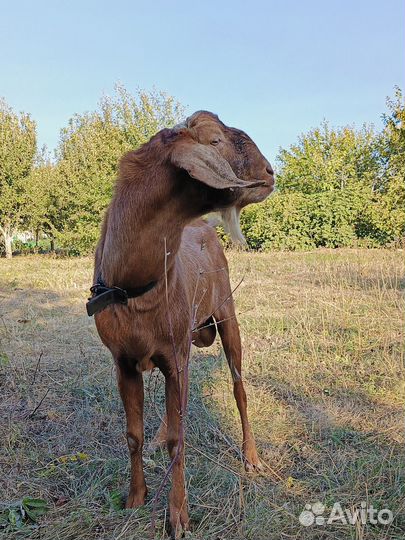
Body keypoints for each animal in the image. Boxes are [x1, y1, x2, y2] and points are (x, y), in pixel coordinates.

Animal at [90, 112, 274, 536]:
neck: (135, 288)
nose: (270, 173)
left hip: (226, 315)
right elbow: (133, 434)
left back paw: (252, 457)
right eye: (215, 140)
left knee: (239, 389)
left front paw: (178, 516)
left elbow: (180, 440)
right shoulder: (123, 361)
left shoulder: (176, 356)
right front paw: (135, 497)